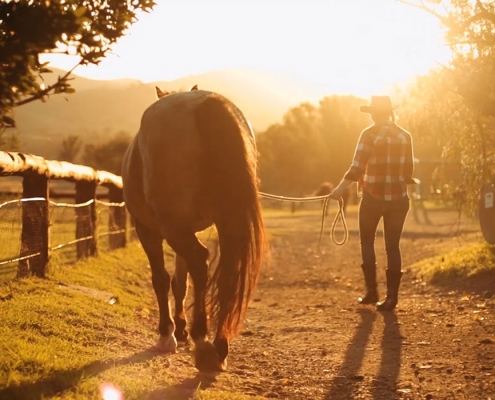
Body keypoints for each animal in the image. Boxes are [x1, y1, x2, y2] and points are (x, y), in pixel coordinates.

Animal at [120, 85, 268, 372]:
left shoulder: (149, 230)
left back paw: (202, 342)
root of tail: (205, 103)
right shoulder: (187, 228)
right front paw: (180, 329)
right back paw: (219, 345)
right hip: (219, 222)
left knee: (200, 261)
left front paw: (168, 334)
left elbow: (161, 279)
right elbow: (180, 282)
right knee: (225, 271)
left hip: (172, 227)